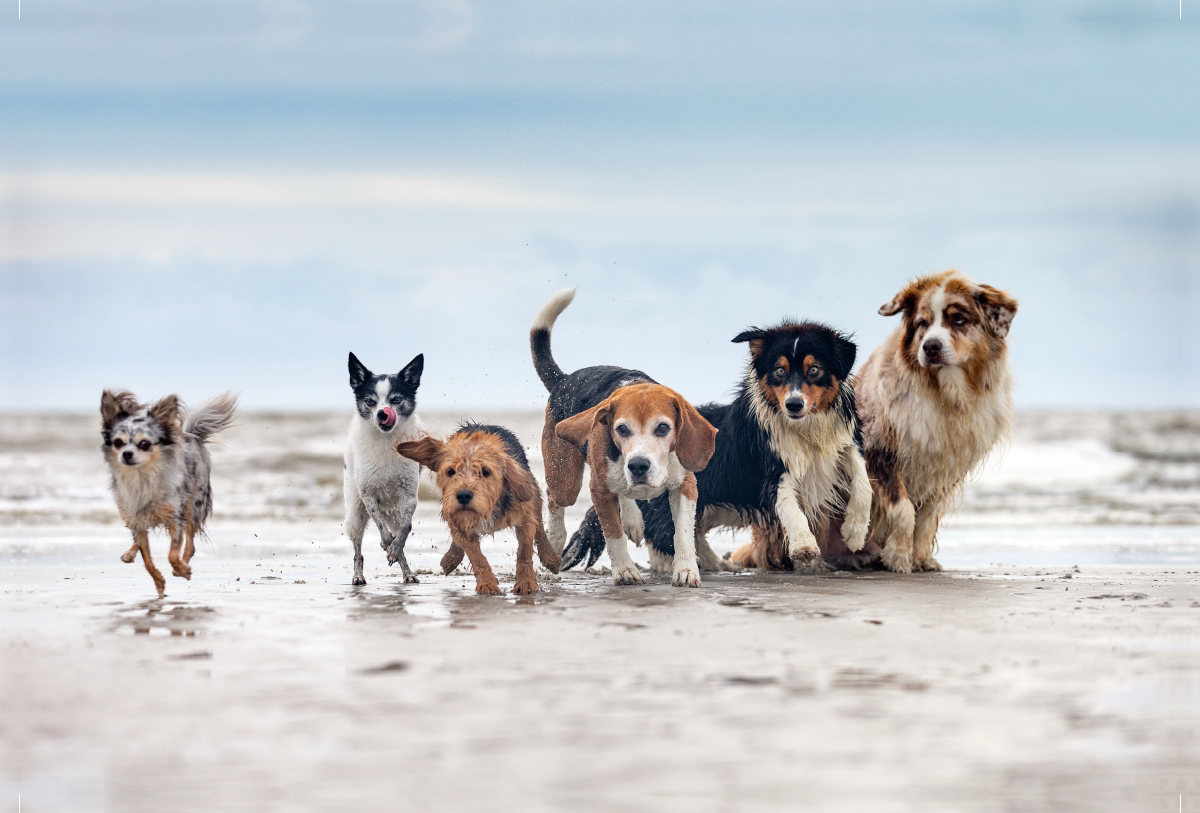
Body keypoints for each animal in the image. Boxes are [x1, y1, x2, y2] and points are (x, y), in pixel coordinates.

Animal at [345, 352, 424, 585]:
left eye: (396, 399)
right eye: (370, 401)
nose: (382, 413)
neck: (385, 440)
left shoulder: (409, 494)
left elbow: (405, 528)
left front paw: (395, 549)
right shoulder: (368, 495)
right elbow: (383, 529)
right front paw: (388, 544)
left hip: (395, 510)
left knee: (400, 532)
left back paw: (407, 573)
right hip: (355, 512)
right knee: (358, 551)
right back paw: (358, 576)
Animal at [561, 321, 873, 575]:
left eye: (814, 370)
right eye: (779, 371)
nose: (793, 404)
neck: (807, 428)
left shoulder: (846, 443)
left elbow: (863, 482)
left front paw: (855, 533)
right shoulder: (773, 466)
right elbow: (789, 505)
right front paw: (804, 545)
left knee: (690, 531)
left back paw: (716, 563)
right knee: (662, 533)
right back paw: (675, 565)